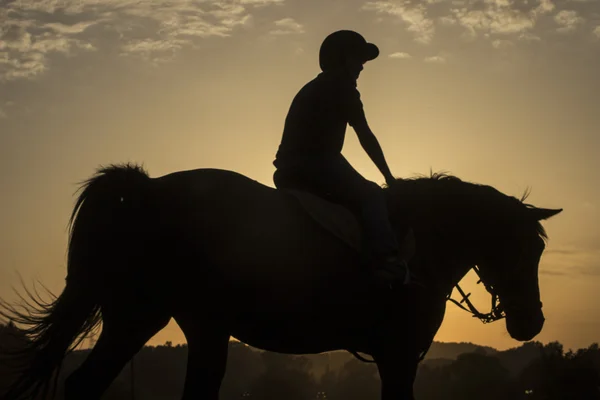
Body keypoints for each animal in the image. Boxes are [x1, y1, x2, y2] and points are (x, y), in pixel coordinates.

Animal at [1, 164, 564, 398]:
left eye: (540, 249)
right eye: (526, 248)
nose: (531, 323)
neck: (422, 240)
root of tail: (145, 189)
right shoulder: (399, 355)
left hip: (160, 321)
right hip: (164, 318)